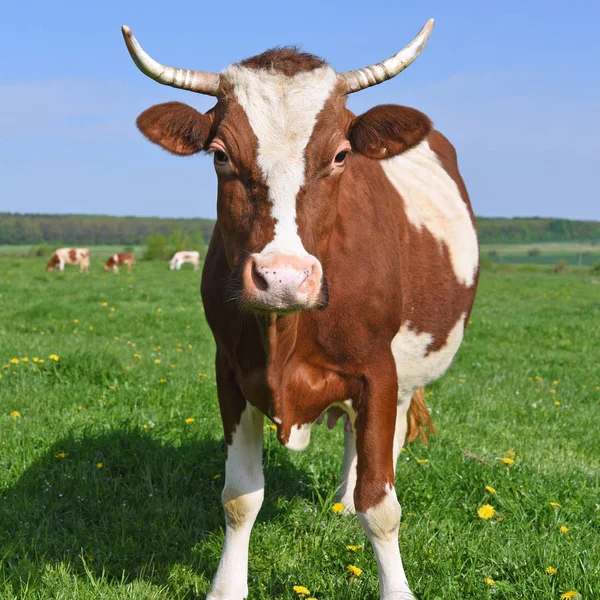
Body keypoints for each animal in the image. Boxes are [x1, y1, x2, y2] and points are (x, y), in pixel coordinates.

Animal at [123, 18, 478, 600]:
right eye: (220, 154)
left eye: (340, 155)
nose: (283, 279)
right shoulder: (229, 371)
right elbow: (240, 496)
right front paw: (227, 586)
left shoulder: (378, 370)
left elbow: (382, 506)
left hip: (405, 374)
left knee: (384, 443)